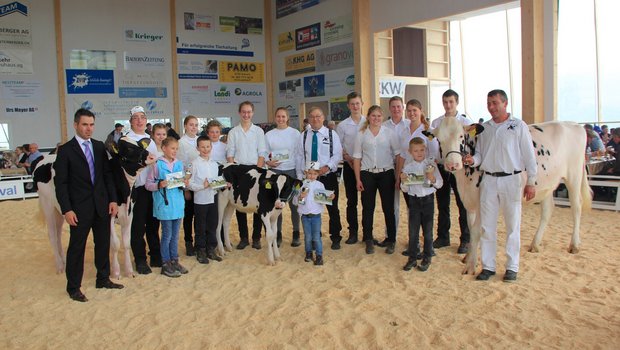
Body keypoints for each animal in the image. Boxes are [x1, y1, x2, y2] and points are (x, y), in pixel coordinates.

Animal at [34, 137, 150, 278]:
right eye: (129, 148)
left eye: (139, 144)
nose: (150, 156)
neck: (124, 192)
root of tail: (44, 159)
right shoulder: (108, 215)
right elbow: (115, 244)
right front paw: (116, 272)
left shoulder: (129, 214)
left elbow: (127, 243)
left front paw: (129, 271)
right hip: (48, 206)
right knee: (52, 235)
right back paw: (60, 266)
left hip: (60, 210)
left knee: (58, 234)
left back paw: (64, 261)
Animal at [428, 119, 592, 274]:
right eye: (439, 140)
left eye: (461, 136)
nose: (452, 164)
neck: (464, 179)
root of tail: (574, 124)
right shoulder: (469, 201)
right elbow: (470, 228)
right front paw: (468, 257)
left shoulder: (482, 202)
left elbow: (476, 231)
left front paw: (470, 266)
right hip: (546, 184)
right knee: (547, 210)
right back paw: (535, 244)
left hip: (574, 176)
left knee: (576, 207)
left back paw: (574, 245)